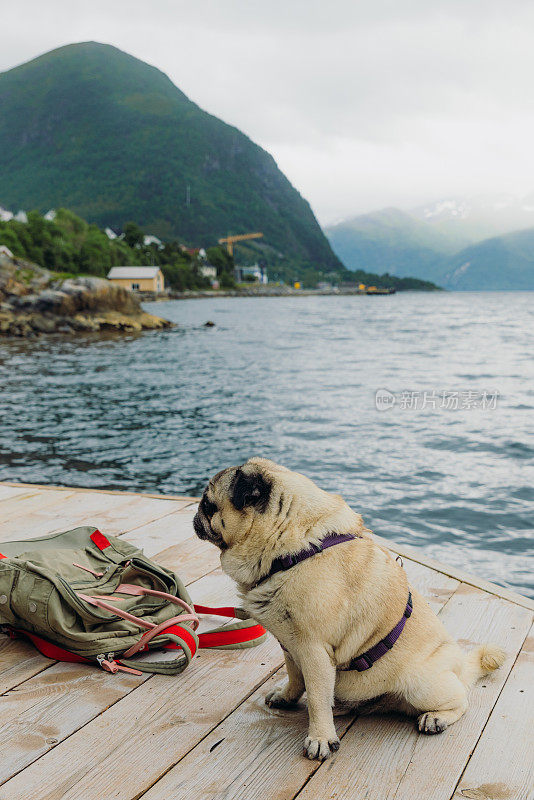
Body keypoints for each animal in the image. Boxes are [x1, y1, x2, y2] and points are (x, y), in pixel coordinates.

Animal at [195, 460, 508, 760]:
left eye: (208, 504)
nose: (197, 516)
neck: (293, 550)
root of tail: (460, 665)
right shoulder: (290, 646)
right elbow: (296, 677)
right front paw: (287, 696)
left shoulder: (314, 650)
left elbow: (317, 699)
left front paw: (320, 738)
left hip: (421, 684)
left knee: (461, 700)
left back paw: (436, 718)